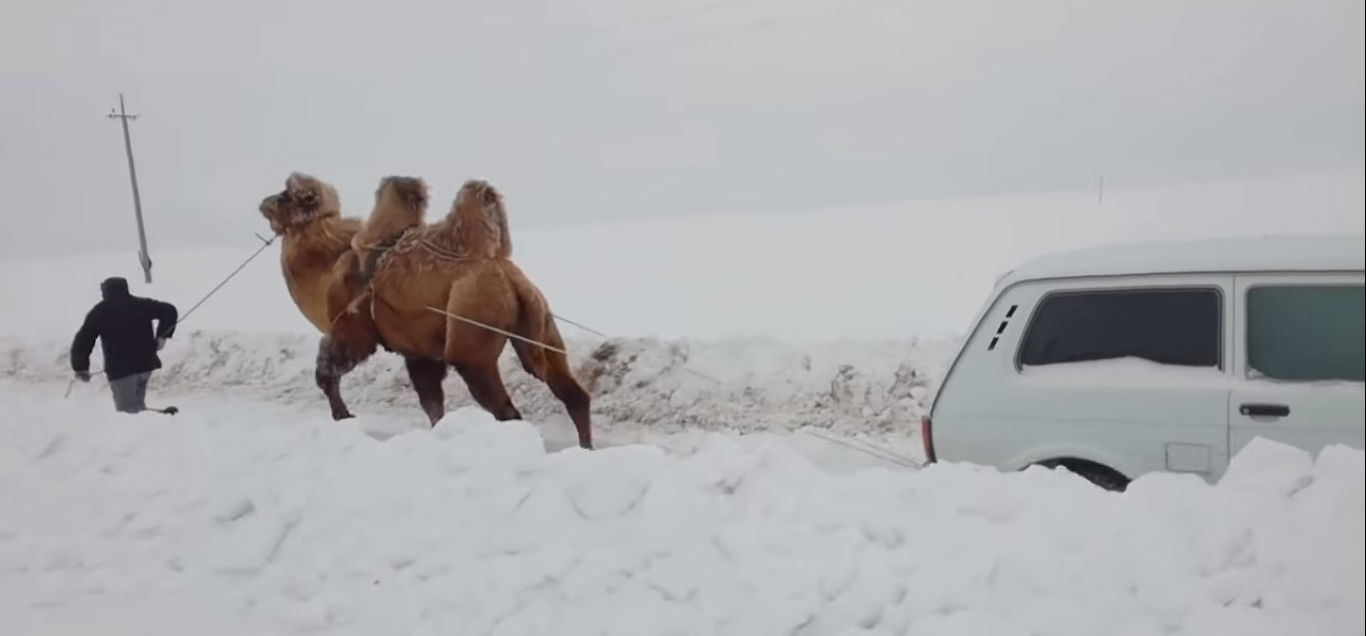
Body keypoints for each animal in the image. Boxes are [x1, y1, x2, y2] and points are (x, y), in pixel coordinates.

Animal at [260, 171, 592, 450]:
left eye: (286, 195)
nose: (263, 203)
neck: (327, 266)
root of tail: (509, 278)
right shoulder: (418, 352)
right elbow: (432, 402)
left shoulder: (353, 330)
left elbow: (327, 371)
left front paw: (344, 416)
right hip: (541, 322)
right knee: (571, 392)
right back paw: (585, 447)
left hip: (472, 339)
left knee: (505, 407)